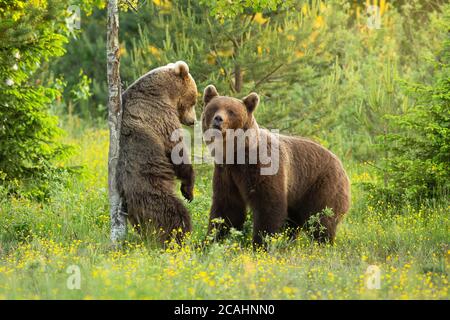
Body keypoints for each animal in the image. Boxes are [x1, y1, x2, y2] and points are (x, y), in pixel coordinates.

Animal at [118, 61, 197, 244]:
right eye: (194, 100)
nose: (193, 121)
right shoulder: (159, 116)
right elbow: (176, 151)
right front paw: (188, 190)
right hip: (152, 190)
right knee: (174, 214)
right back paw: (179, 238)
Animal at [201, 84, 352, 245]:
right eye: (214, 108)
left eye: (231, 111)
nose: (218, 119)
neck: (236, 154)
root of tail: (341, 164)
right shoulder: (226, 173)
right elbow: (227, 208)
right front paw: (211, 240)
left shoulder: (262, 167)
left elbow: (268, 205)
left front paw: (261, 243)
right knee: (294, 222)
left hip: (321, 185)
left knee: (321, 219)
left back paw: (322, 243)